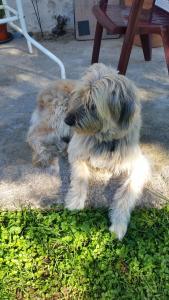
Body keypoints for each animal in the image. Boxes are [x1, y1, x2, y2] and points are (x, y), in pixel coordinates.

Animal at [64, 63, 150, 241]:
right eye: (79, 96)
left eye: (92, 105)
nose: (67, 120)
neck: (106, 139)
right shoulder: (76, 151)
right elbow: (80, 177)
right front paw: (75, 201)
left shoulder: (140, 165)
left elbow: (128, 191)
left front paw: (119, 223)